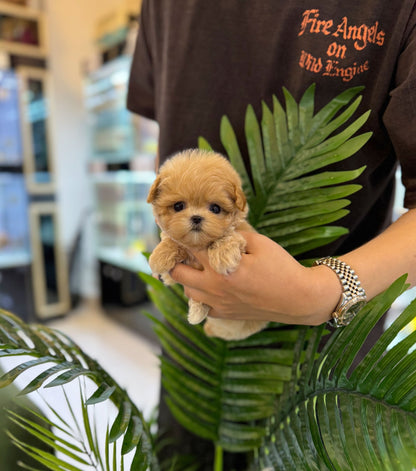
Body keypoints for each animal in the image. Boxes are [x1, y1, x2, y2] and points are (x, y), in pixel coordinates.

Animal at [148, 149, 268, 342]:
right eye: (178, 206)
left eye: (215, 208)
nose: (196, 217)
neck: (199, 245)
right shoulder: (177, 272)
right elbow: (174, 244)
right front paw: (161, 255)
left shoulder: (243, 236)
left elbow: (229, 236)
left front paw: (223, 256)